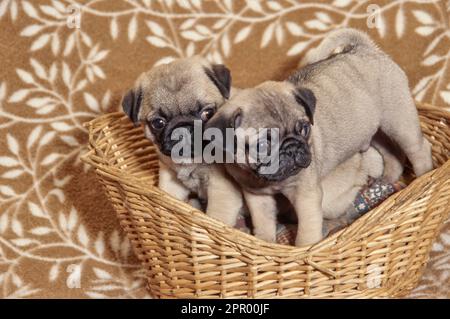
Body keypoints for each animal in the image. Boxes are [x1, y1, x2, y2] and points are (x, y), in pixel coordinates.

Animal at [207, 28, 432, 246]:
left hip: (399, 120)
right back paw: (388, 180)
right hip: (373, 130)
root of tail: (363, 49)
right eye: (262, 144)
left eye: (304, 129)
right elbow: (263, 221)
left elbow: (307, 229)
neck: (267, 180)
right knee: (392, 153)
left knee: (419, 149)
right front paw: (264, 241)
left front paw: (304, 248)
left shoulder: (305, 195)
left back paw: (424, 176)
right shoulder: (257, 196)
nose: (292, 148)